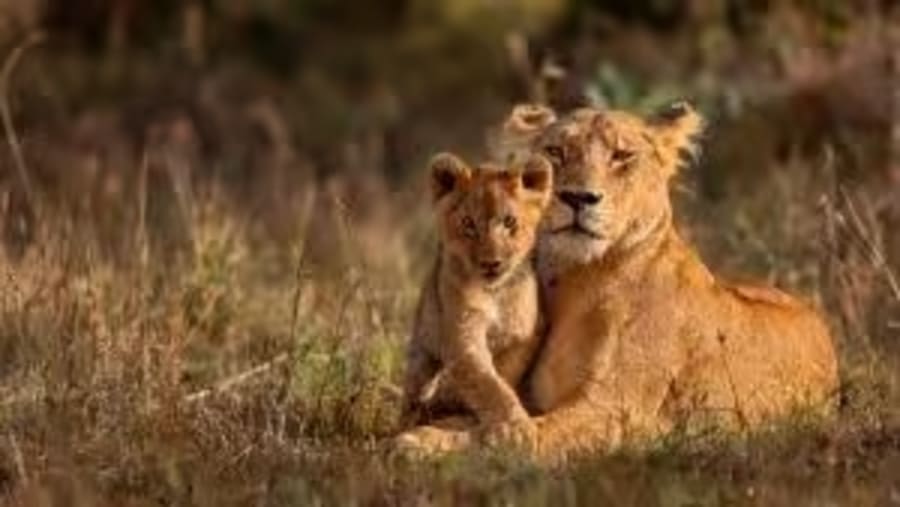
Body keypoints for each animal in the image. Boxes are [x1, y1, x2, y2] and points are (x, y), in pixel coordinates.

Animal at [401, 151, 553, 431]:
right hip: (422, 349)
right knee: (414, 392)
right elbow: (488, 384)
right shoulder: (462, 337)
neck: (494, 293)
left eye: (509, 222)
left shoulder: (526, 333)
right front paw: (518, 427)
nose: (491, 263)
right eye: (469, 224)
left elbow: (503, 374)